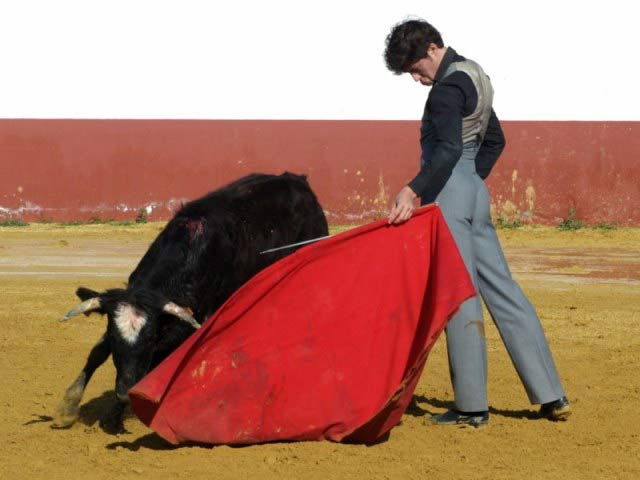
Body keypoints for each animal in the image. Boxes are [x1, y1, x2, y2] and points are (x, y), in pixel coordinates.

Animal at [52, 172, 328, 432]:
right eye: (114, 337)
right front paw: (69, 408)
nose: (123, 392)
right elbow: (97, 352)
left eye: (150, 338)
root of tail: (298, 181)